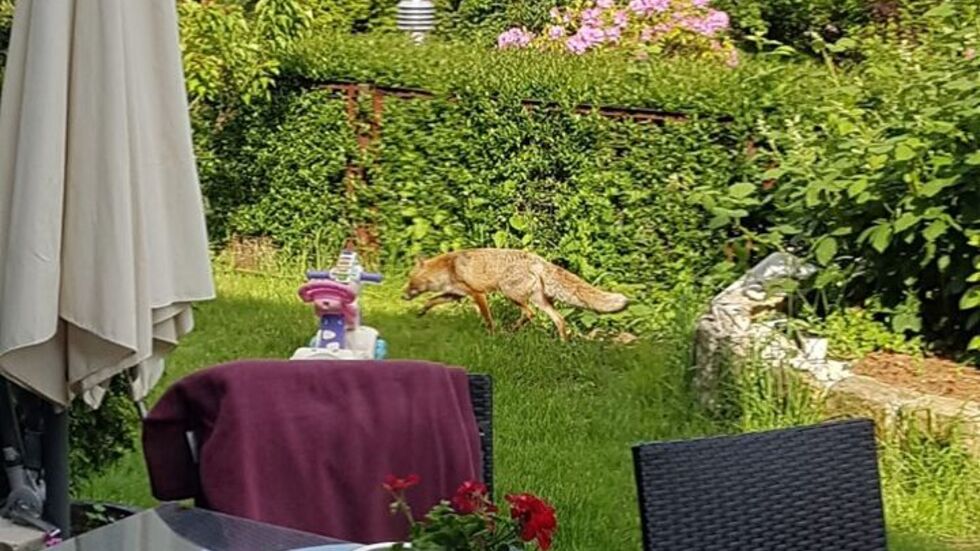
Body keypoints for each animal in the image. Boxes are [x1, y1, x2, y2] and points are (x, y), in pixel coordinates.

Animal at [402, 248, 628, 340]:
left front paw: (492, 336)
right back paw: (563, 344)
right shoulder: (455, 295)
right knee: (559, 319)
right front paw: (421, 311)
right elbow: (432, 300)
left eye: (410, 280)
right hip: (540, 300)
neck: (449, 268)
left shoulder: (477, 293)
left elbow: (488, 319)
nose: (402, 296)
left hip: (510, 293)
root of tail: (537, 259)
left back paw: (511, 331)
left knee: (529, 313)